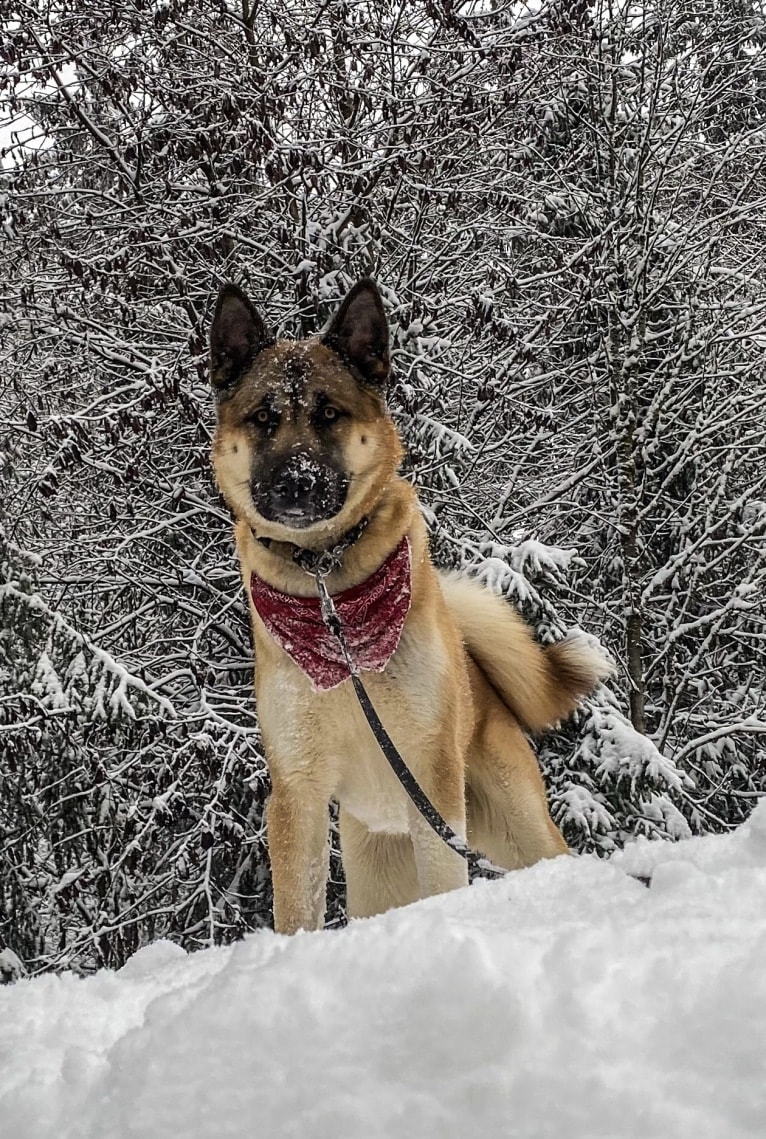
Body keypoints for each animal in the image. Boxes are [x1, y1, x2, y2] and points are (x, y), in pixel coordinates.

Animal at [207, 277, 610, 933]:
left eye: (328, 413)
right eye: (264, 417)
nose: (296, 482)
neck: (329, 597)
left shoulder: (430, 776)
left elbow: (445, 883)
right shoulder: (299, 790)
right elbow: (298, 905)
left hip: (509, 821)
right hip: (376, 860)